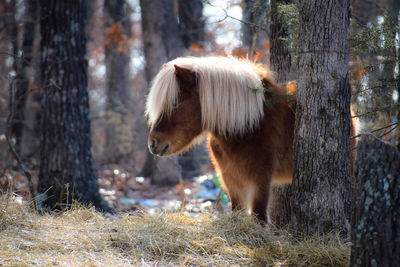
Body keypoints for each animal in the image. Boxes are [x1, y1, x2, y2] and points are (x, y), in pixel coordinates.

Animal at [146, 56, 356, 224]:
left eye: (175, 103)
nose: (153, 143)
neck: (247, 127)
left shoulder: (260, 179)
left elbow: (259, 216)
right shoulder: (230, 179)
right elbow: (237, 210)